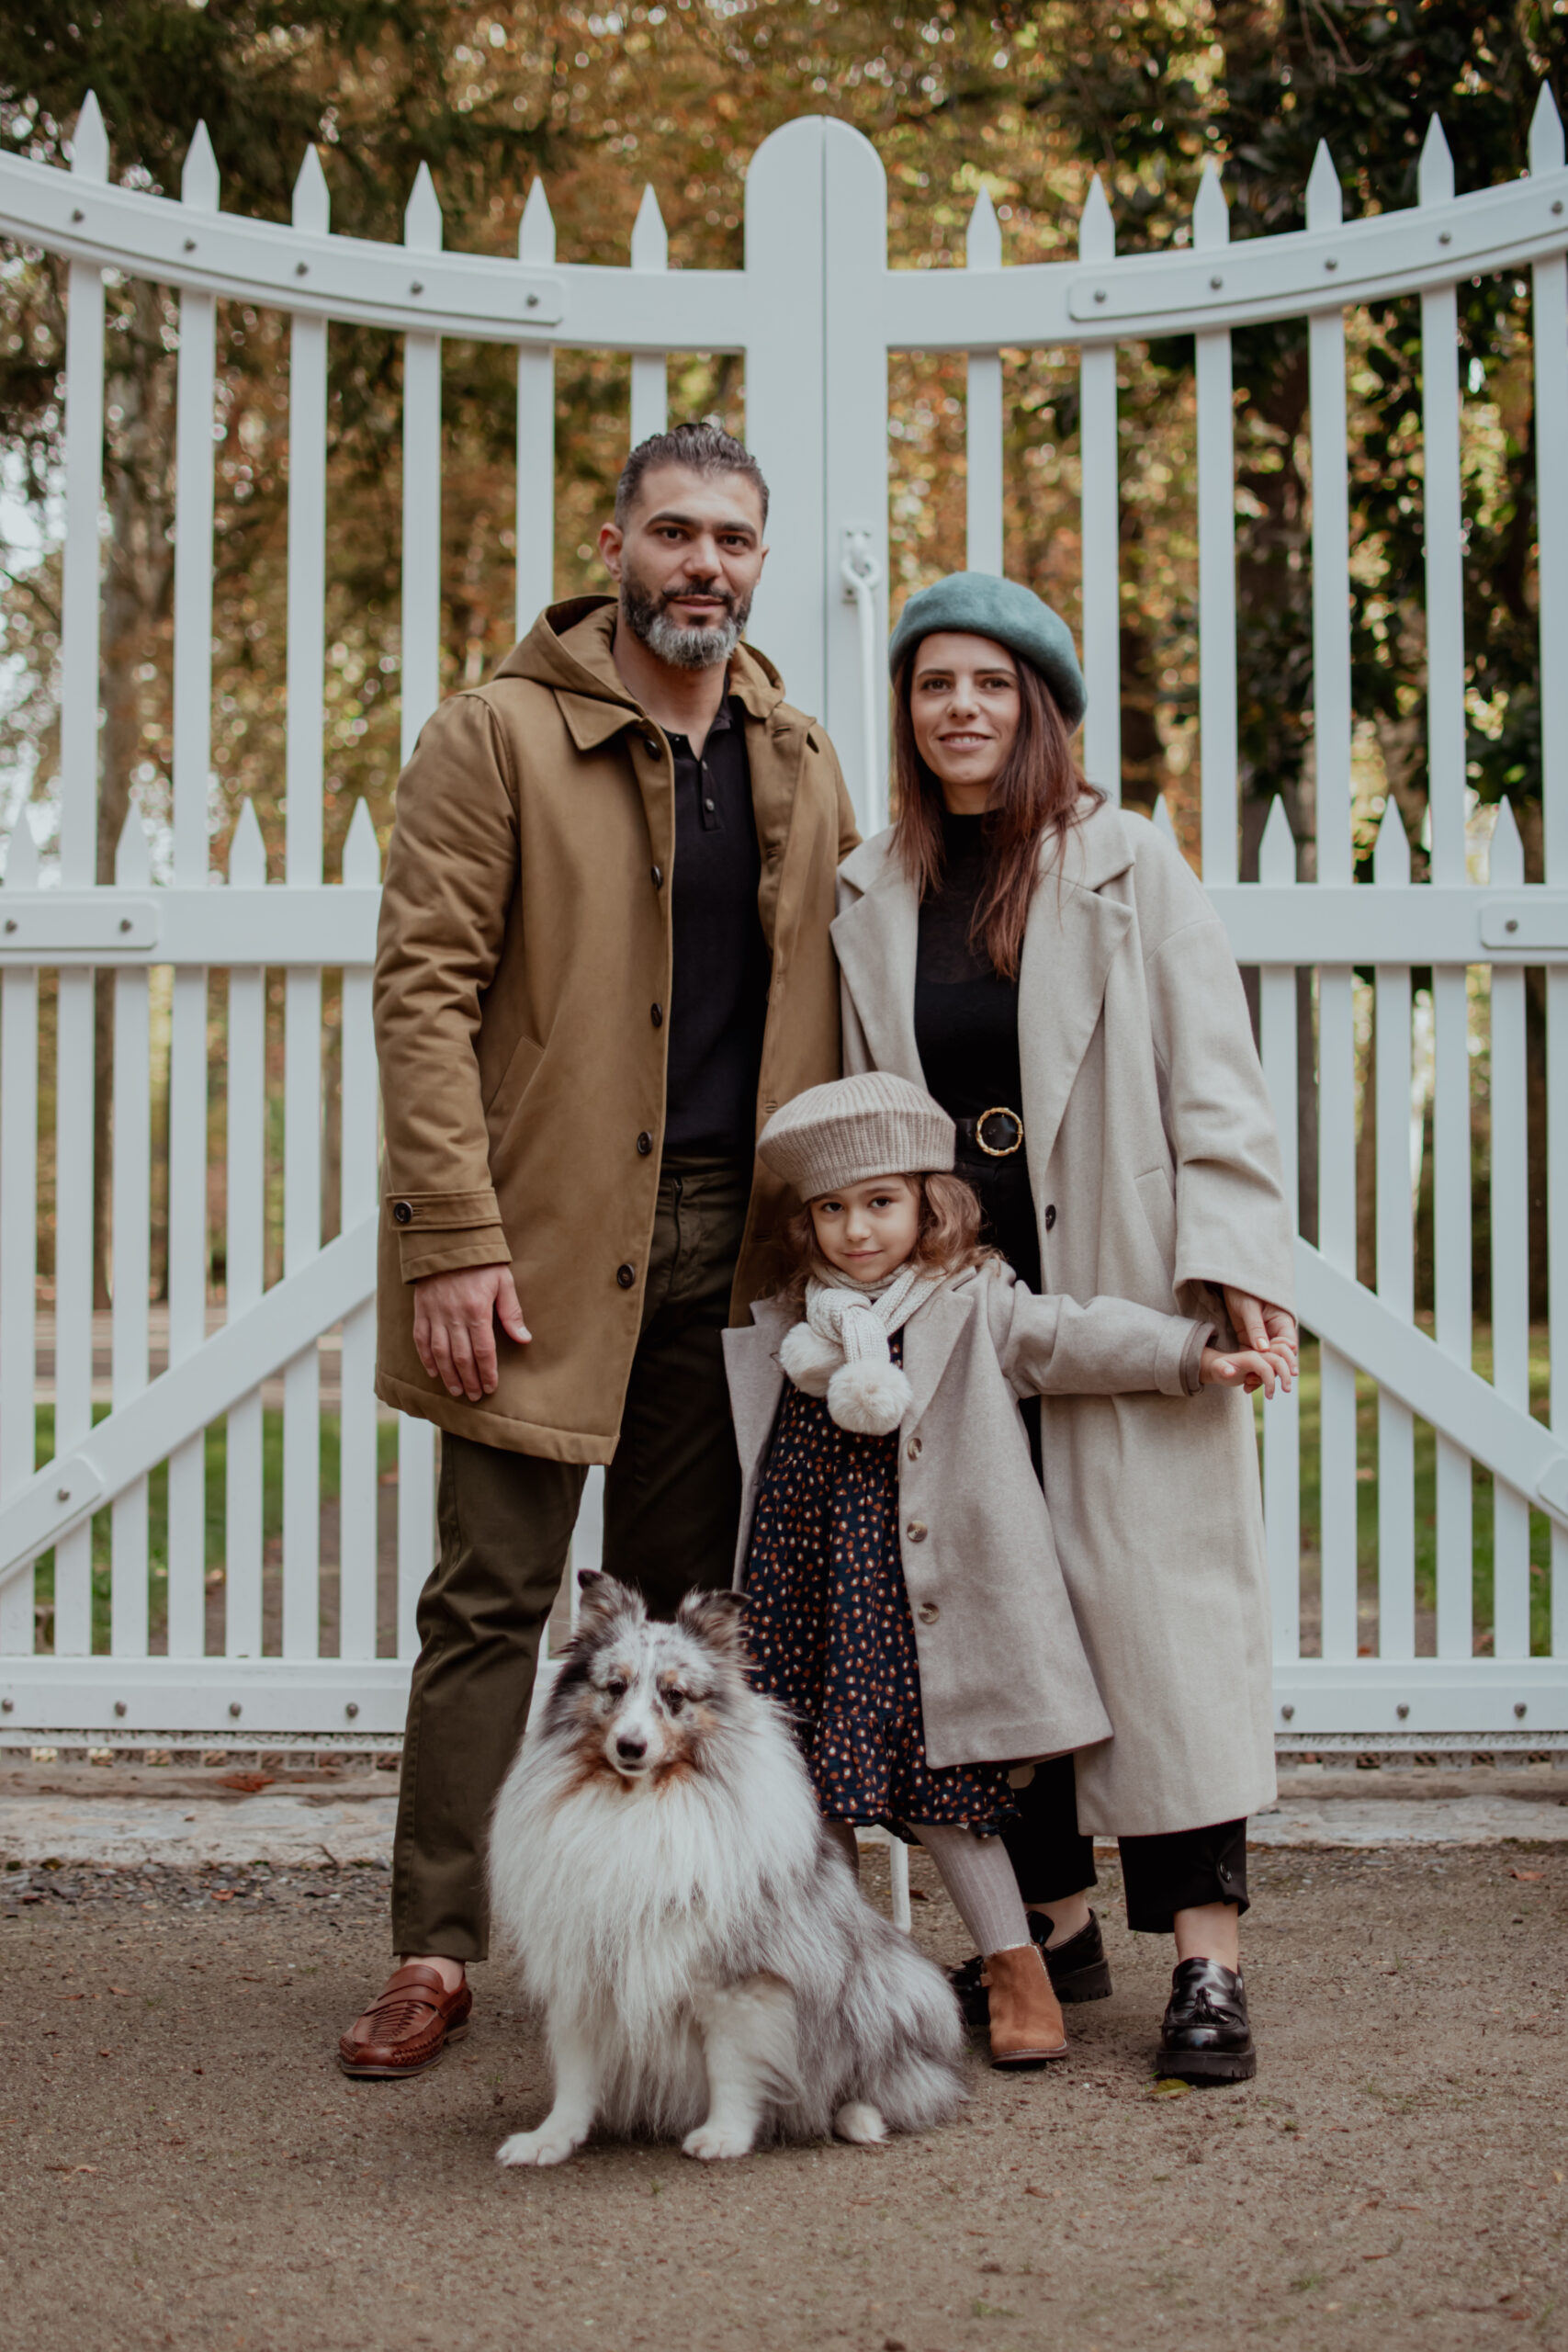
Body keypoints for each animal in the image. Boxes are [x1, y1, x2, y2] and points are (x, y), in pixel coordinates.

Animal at [491, 1580, 964, 2164]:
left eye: (675, 1696)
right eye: (615, 1687)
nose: (630, 1747)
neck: (637, 1803)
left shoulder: (737, 1983)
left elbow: (731, 2068)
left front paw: (724, 2136)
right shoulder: (583, 1967)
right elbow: (576, 2074)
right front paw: (549, 2140)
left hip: (887, 1988)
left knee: (893, 2083)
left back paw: (860, 2117)